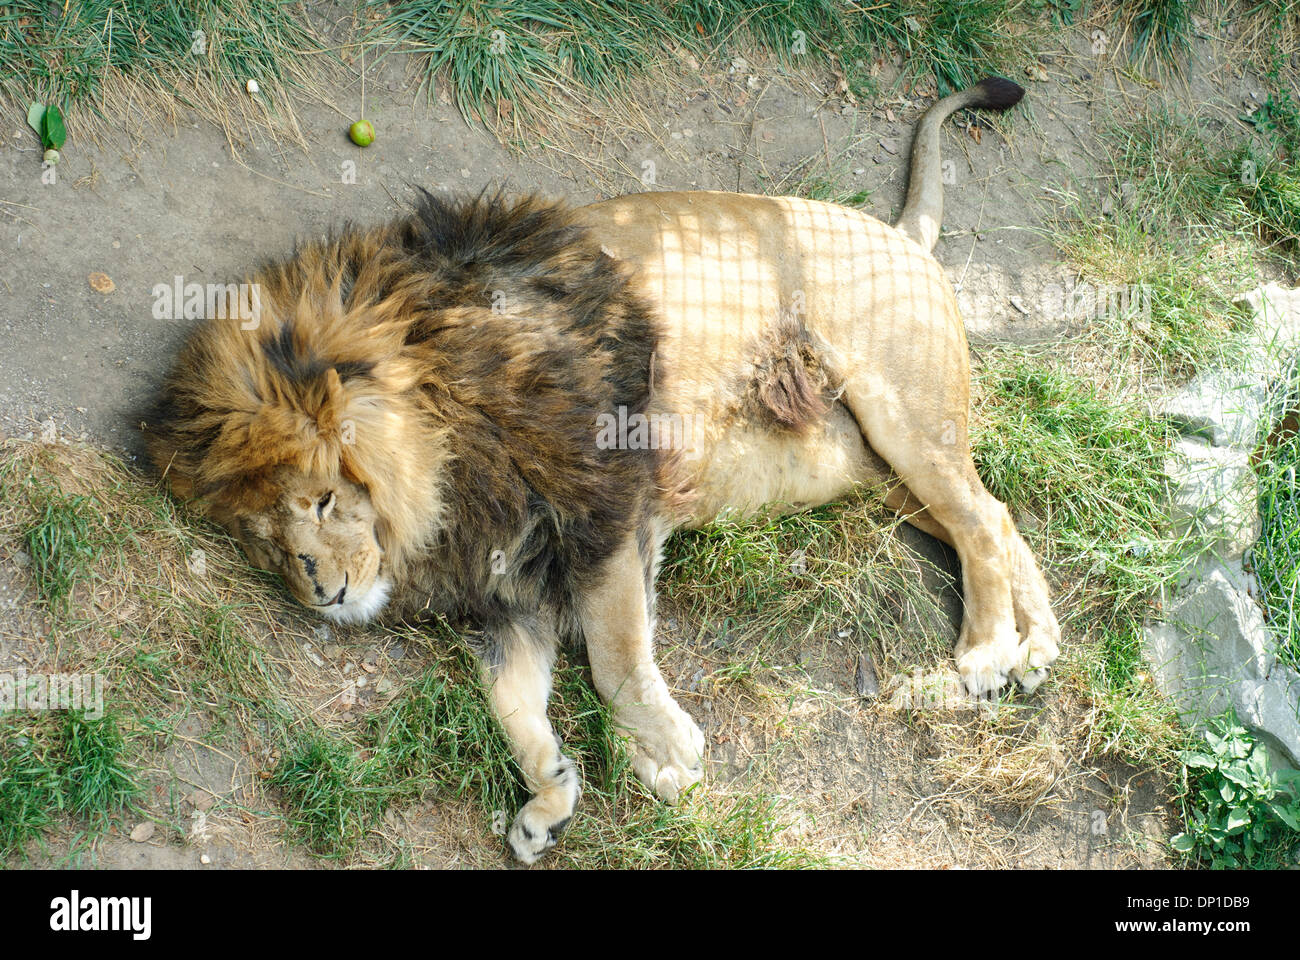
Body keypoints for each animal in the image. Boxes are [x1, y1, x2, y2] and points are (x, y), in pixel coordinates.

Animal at [148, 75, 1060, 864]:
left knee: (982, 520)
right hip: (874, 470)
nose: (324, 596)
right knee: (997, 518)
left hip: (900, 413)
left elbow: (617, 651)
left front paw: (663, 749)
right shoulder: (510, 589)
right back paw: (1036, 645)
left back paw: (984, 652)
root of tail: (895, 234)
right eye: (267, 540)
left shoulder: (605, 510)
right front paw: (549, 798)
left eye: (325, 500)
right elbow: (510, 702)